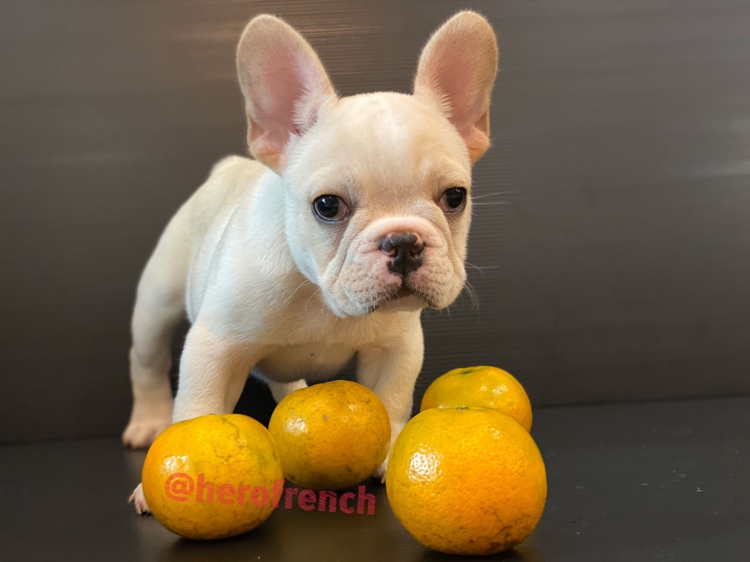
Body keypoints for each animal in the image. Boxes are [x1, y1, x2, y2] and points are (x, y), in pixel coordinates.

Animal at [124, 10, 498, 514]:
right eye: (328, 206)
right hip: (157, 300)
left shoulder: (395, 348)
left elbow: (391, 398)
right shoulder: (215, 346)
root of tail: (226, 169)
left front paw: (392, 452)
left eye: (455, 197)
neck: (320, 292)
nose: (403, 242)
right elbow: (198, 408)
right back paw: (147, 422)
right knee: (146, 357)